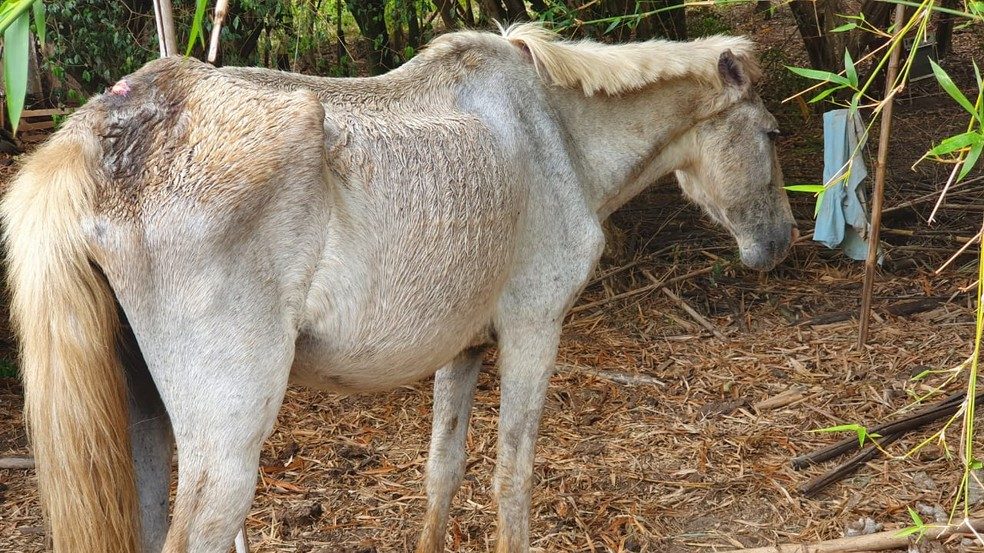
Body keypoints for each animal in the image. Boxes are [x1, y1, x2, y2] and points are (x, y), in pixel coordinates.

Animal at [2, 23, 795, 553]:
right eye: (772, 132)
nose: (781, 241)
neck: (553, 131)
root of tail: (105, 132)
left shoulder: (465, 349)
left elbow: (443, 470)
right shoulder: (535, 330)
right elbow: (513, 476)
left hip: (144, 418)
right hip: (225, 444)